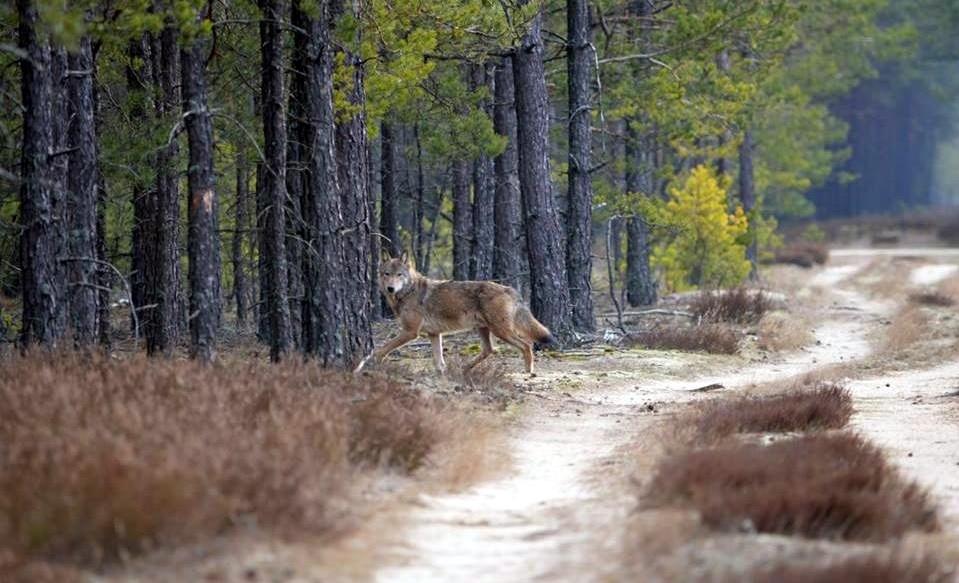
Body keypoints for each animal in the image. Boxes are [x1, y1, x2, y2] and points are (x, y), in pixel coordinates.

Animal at [354, 251, 553, 375]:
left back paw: (528, 372)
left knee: (526, 345)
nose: (390, 288)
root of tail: (510, 289)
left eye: (399, 275)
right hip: (484, 330)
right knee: (490, 350)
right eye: (386, 274)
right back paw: (464, 368)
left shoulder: (411, 332)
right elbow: (438, 361)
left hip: (500, 331)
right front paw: (442, 374)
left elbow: (382, 348)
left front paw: (368, 362)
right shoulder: (434, 334)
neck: (408, 292)